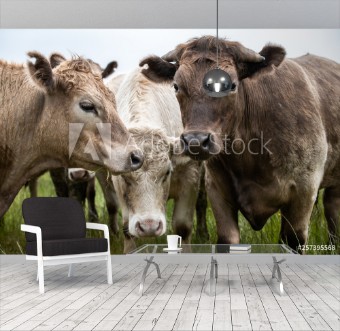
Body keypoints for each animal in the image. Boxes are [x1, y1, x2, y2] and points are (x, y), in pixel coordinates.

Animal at [141, 36, 340, 253]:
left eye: (232, 85)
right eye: (176, 86)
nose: (196, 141)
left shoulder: (304, 192)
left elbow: (292, 241)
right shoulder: (217, 190)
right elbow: (227, 239)